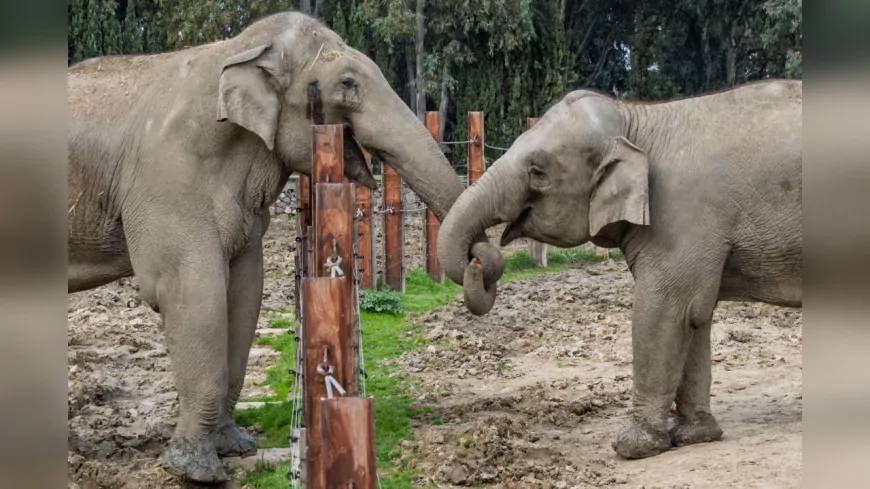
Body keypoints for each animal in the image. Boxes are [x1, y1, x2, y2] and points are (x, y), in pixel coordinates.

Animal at [66, 10, 504, 480]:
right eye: (347, 83)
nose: (482, 265)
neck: (236, 50)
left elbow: (244, 292)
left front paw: (235, 446)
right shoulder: (167, 182)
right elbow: (191, 291)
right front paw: (196, 471)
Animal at [440, 79, 808, 458]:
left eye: (537, 171)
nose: (478, 260)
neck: (636, 118)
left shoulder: (681, 217)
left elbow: (665, 311)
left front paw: (632, 447)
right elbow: (695, 316)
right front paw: (695, 436)